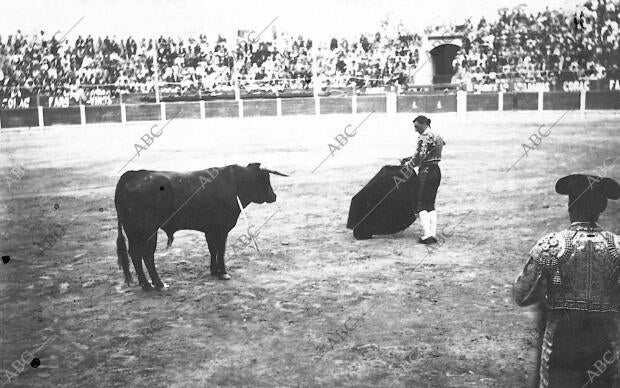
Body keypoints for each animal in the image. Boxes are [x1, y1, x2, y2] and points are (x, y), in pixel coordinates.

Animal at [115, 161, 286, 288]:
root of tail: (133, 174)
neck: (234, 185)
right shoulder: (221, 229)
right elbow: (220, 250)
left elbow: (213, 249)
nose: (274, 196)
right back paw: (158, 284)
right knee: (146, 255)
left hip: (133, 232)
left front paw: (214, 271)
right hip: (147, 231)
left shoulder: (210, 230)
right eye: (264, 179)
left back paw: (145, 284)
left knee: (135, 254)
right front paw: (223, 273)